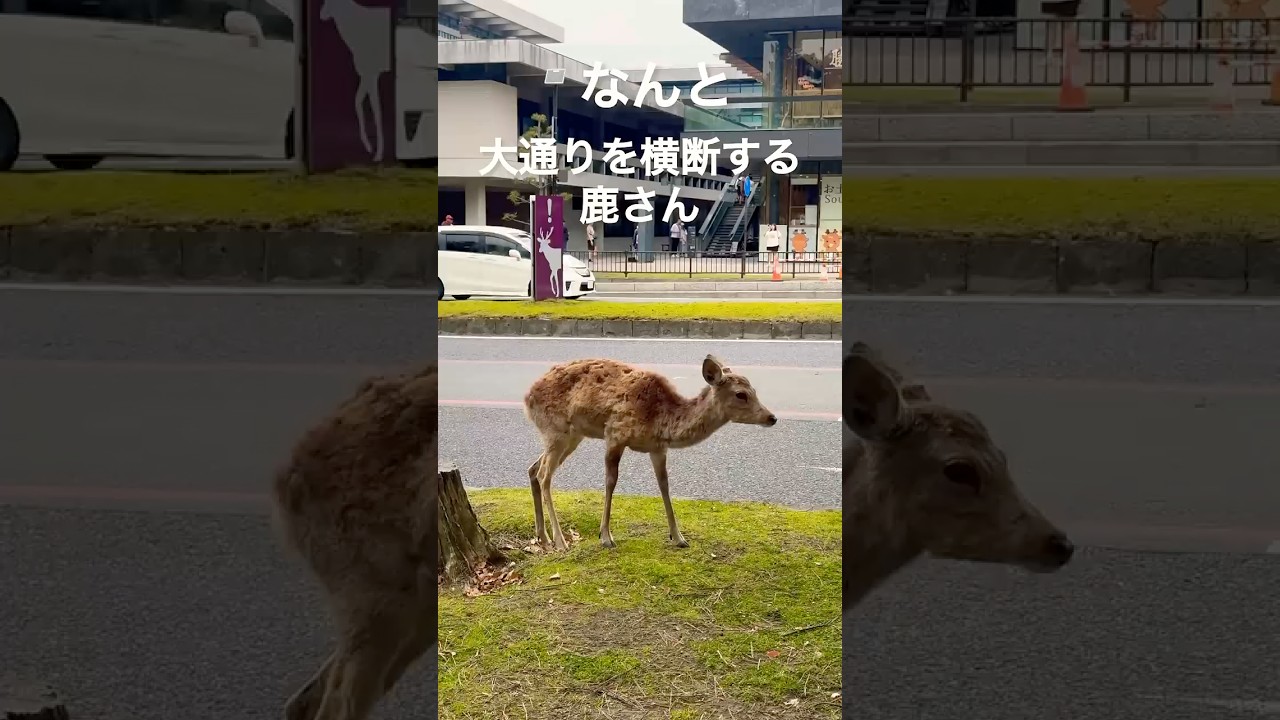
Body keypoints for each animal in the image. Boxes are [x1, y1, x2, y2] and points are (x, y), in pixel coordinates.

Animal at [524, 355, 778, 551]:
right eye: (741, 394)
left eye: (754, 389)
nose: (772, 417)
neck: (661, 420)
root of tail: (527, 398)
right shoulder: (615, 433)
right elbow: (610, 482)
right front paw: (605, 537)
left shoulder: (657, 448)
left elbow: (664, 484)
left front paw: (678, 537)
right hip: (556, 429)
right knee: (545, 475)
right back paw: (560, 541)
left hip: (570, 436)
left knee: (533, 468)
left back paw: (543, 537)